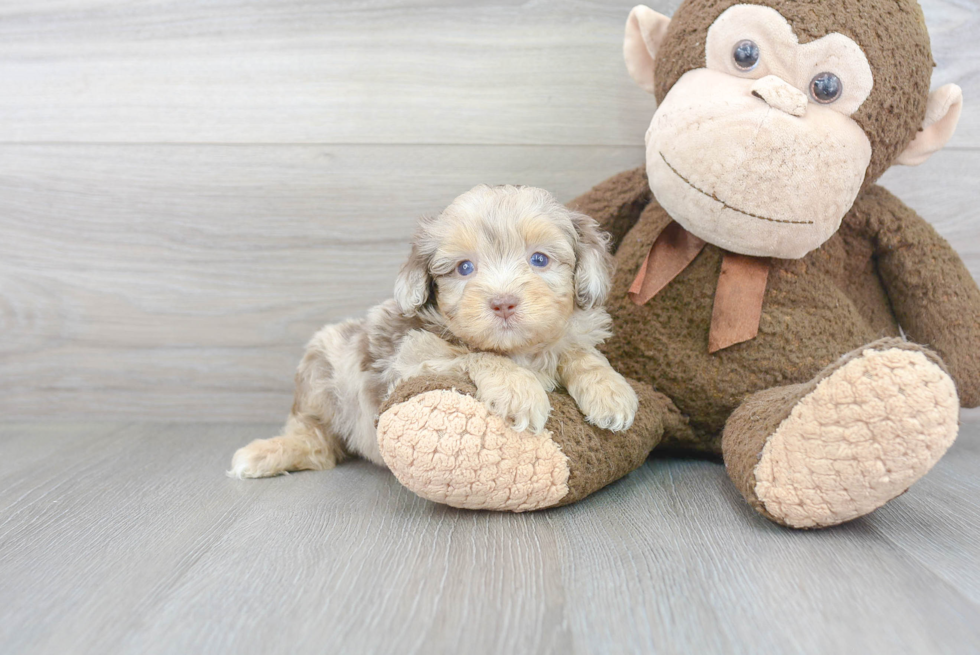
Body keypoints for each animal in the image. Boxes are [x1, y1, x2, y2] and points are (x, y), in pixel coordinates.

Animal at [233, 184, 640, 476]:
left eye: (539, 259)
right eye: (464, 268)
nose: (503, 302)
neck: (518, 349)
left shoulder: (567, 336)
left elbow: (580, 352)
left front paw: (611, 391)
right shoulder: (411, 360)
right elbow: (475, 354)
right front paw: (518, 389)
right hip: (321, 369)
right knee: (316, 441)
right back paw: (266, 453)